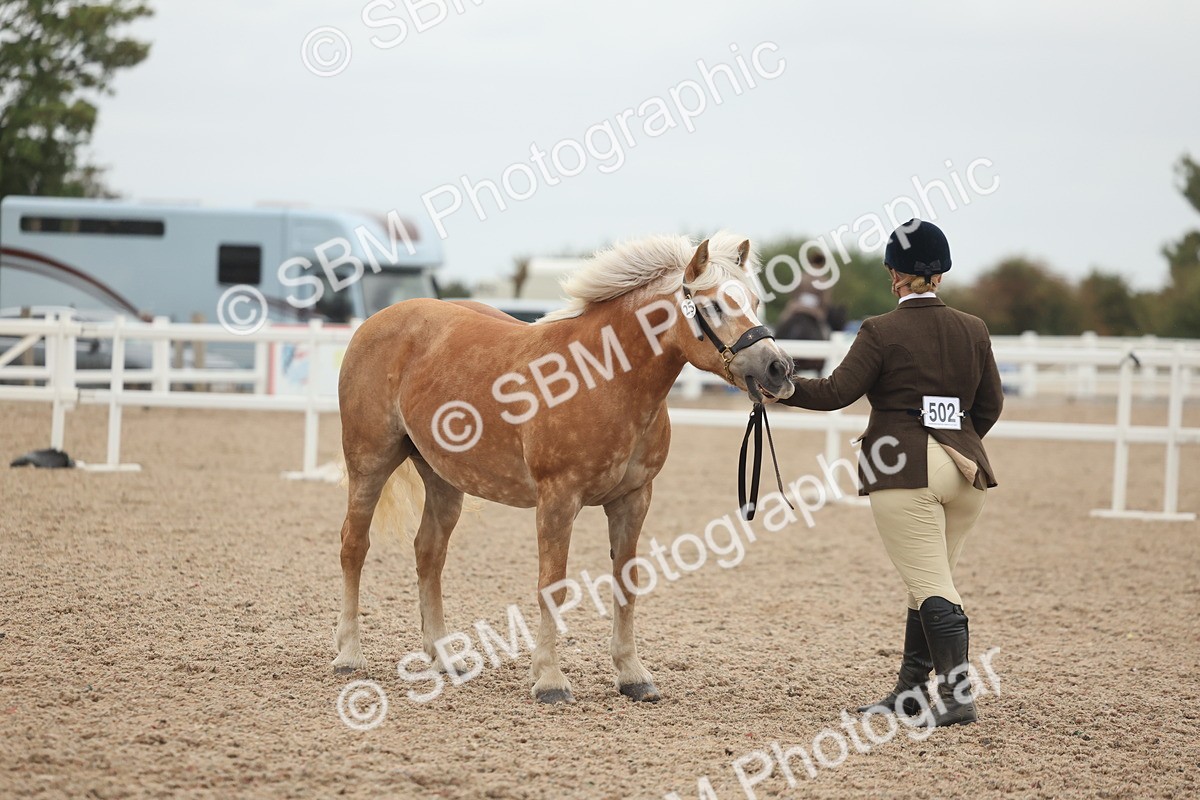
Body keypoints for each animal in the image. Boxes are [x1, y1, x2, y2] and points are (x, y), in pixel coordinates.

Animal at [332, 232, 796, 703]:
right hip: (369, 461)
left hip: (443, 479)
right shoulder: (558, 499)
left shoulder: (634, 499)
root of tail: (377, 322)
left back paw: (445, 658)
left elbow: (626, 582)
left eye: (754, 300)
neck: (602, 378)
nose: (778, 368)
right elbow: (552, 586)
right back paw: (349, 654)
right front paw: (550, 680)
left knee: (428, 553)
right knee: (354, 545)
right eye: (714, 304)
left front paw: (633, 675)